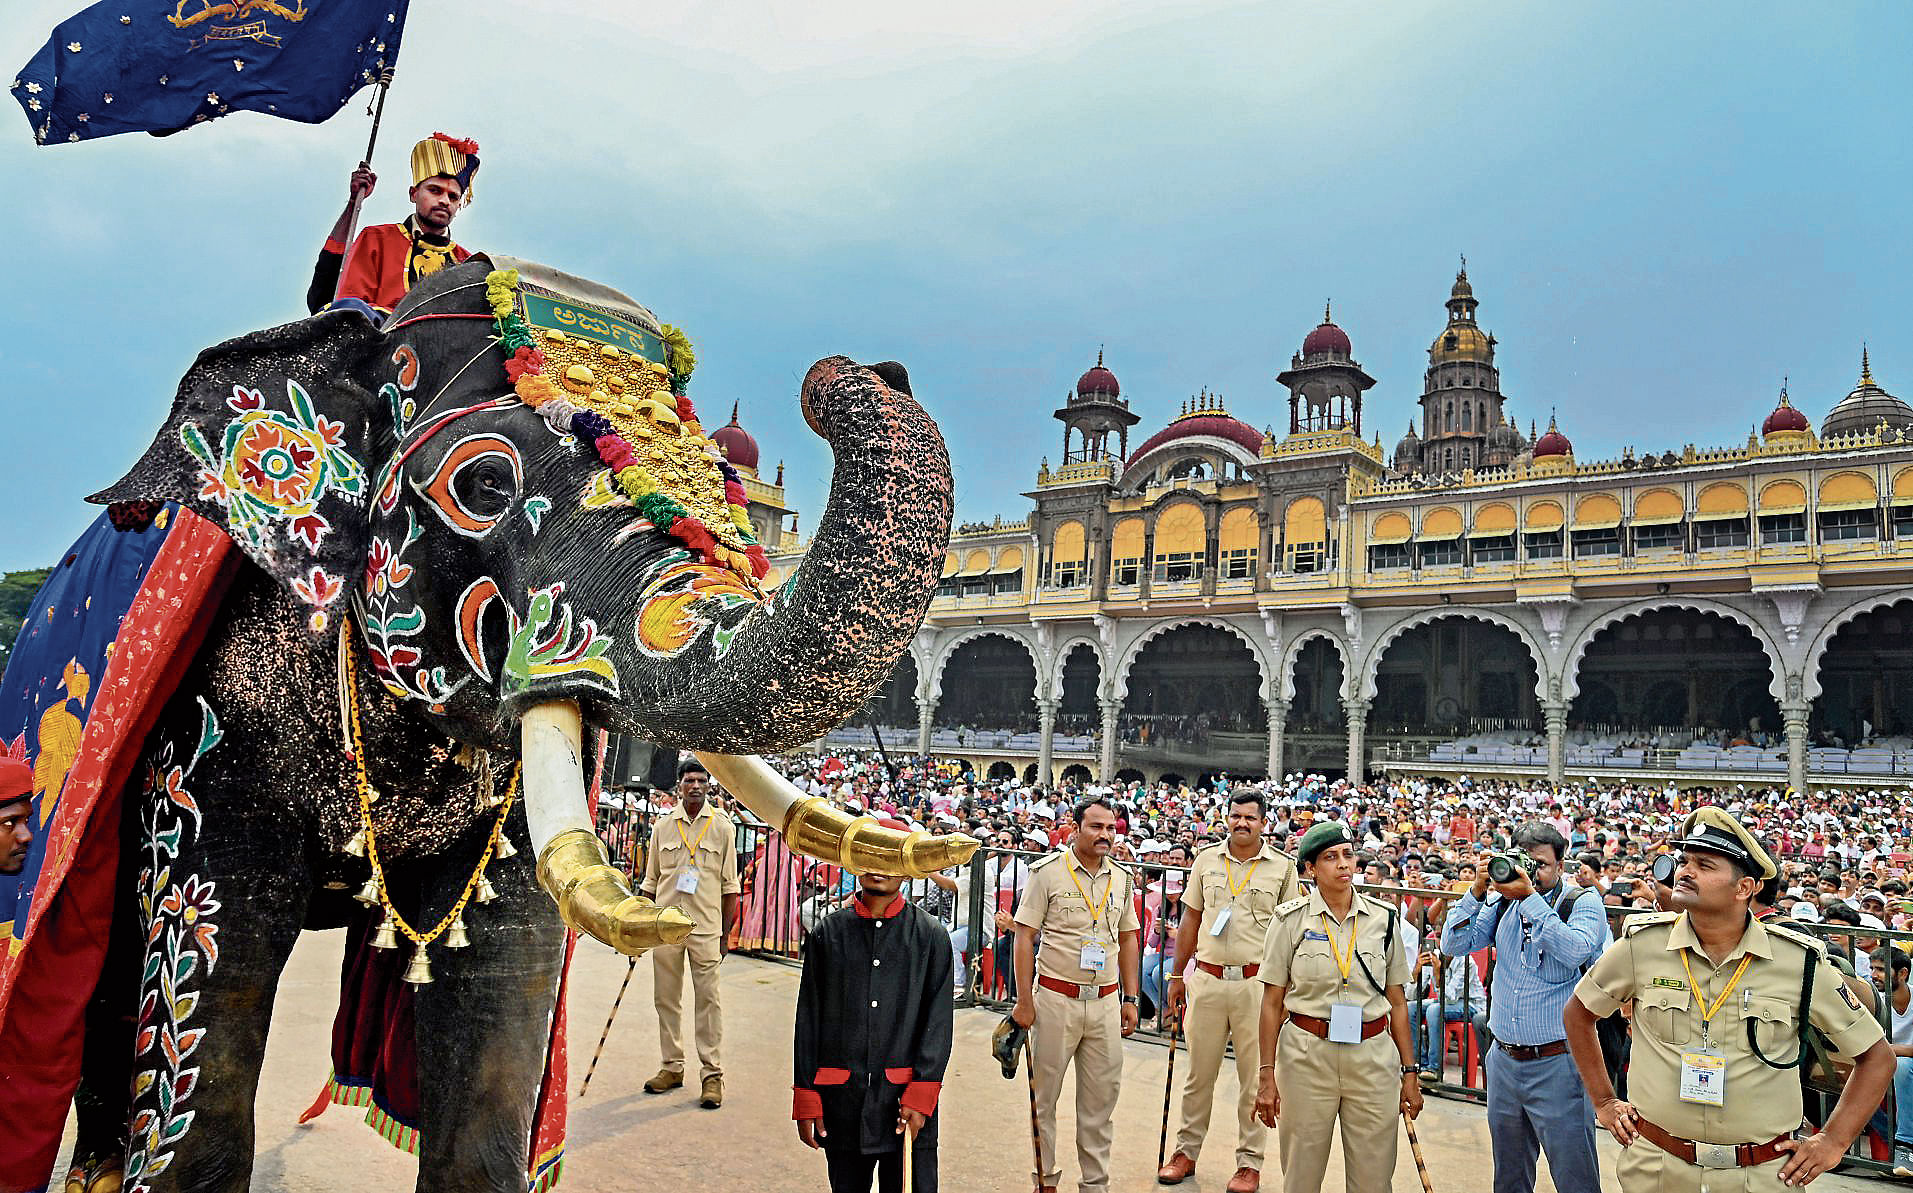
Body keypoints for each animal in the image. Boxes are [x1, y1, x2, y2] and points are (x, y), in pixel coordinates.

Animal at [11, 260, 971, 1193]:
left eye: (728, 500)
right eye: (481, 485)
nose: (870, 369)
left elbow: (504, 978)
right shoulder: (212, 725)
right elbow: (211, 949)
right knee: (109, 956)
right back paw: (97, 1170)